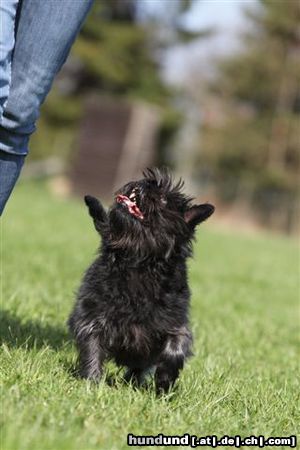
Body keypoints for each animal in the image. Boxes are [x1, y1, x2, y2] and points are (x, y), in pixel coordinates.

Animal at [68, 167, 214, 392]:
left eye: (163, 199)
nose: (147, 183)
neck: (139, 262)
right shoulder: (92, 316)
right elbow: (92, 346)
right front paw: (92, 382)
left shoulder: (175, 322)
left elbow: (176, 346)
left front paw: (165, 380)